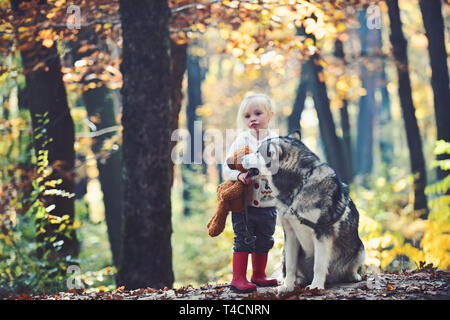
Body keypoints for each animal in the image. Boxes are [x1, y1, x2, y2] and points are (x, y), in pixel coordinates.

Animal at [243, 130, 366, 292]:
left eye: (258, 152)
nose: (239, 158)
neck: (298, 186)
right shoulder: (289, 233)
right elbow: (290, 265)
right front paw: (288, 286)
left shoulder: (322, 232)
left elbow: (319, 265)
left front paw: (316, 286)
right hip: (285, 253)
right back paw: (298, 280)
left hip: (360, 249)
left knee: (352, 267)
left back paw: (352, 276)